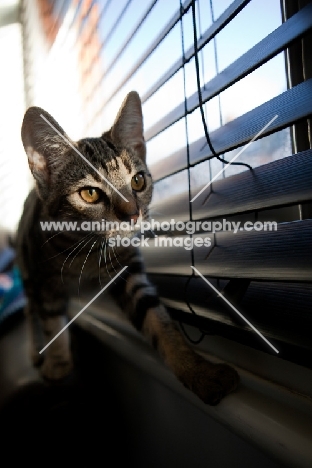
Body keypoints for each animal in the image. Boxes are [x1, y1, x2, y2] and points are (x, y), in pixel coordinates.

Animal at [15, 91, 239, 406]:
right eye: (90, 193)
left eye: (138, 180)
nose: (133, 214)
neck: (85, 251)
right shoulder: (42, 278)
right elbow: (50, 319)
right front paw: (58, 362)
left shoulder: (127, 270)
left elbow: (158, 321)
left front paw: (198, 371)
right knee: (30, 309)